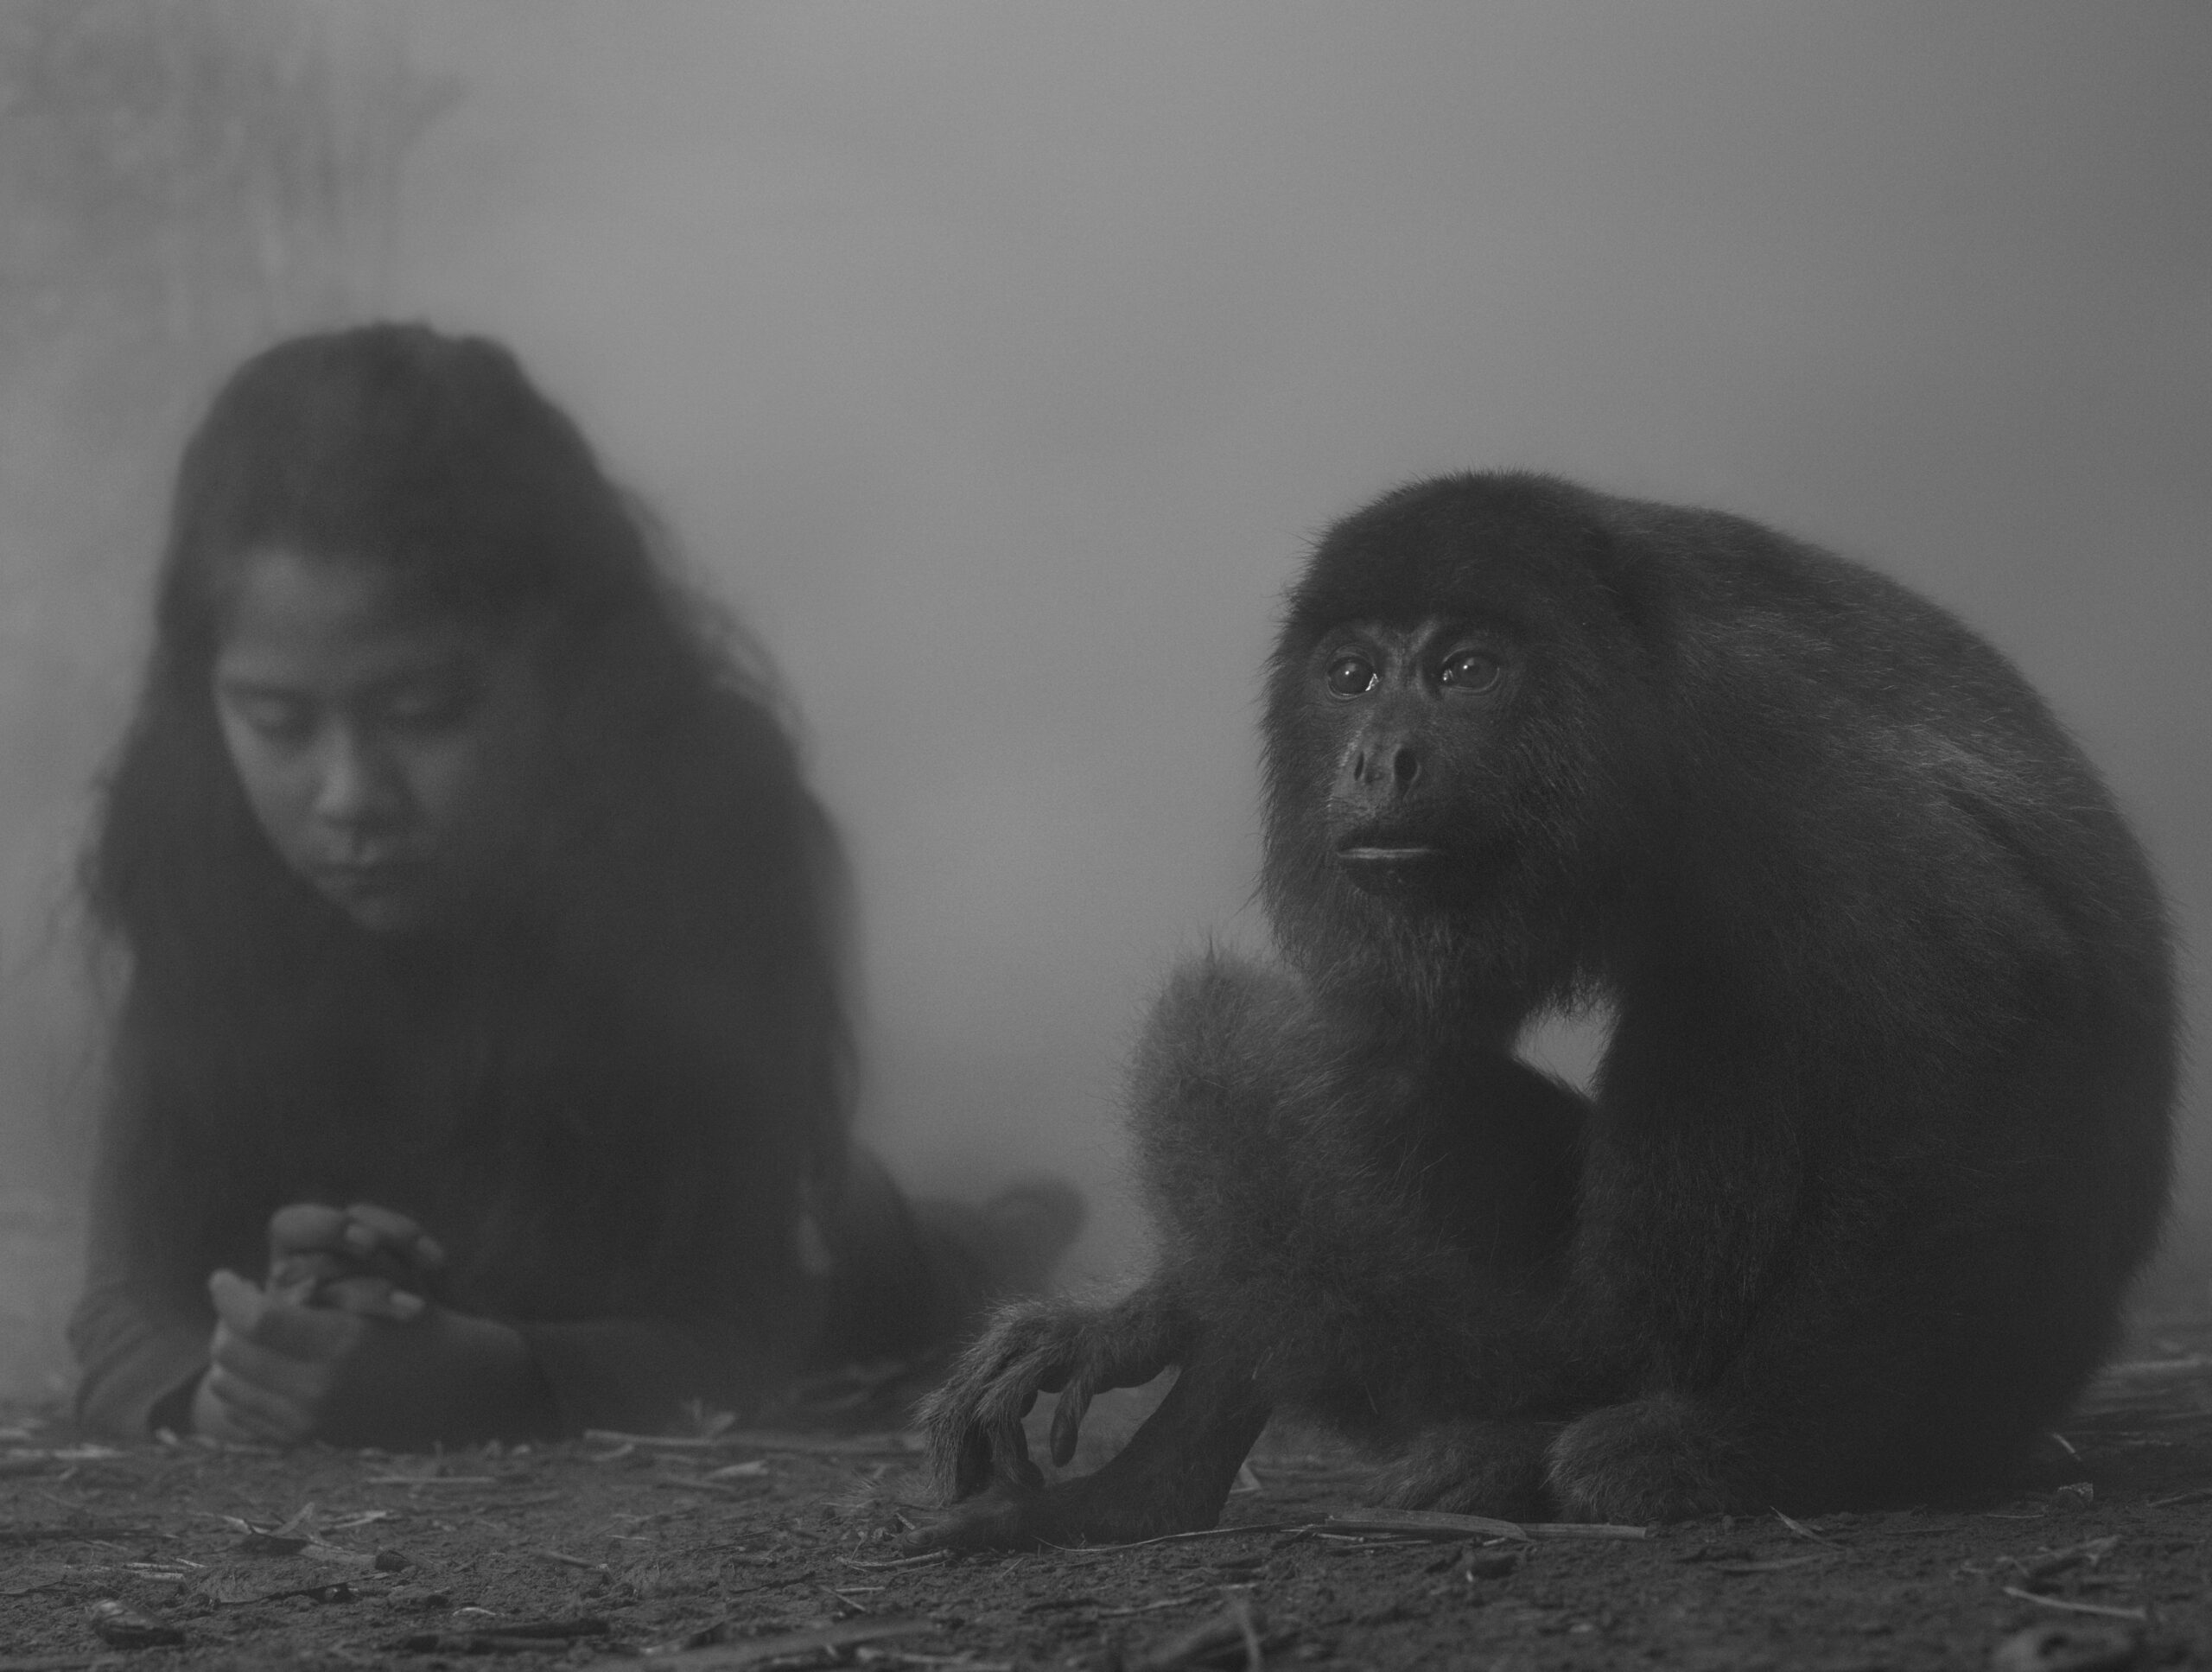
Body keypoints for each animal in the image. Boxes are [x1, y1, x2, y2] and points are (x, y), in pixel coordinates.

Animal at [906, 467, 2167, 1539]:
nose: (1377, 759)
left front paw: (1739, 1452)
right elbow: (1393, 1051)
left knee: (1734, 1015)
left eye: (1467, 670)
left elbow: (1990, 1032)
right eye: (1353, 675)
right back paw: (1151, 1490)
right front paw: (1130, 1320)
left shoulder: (1788, 765)